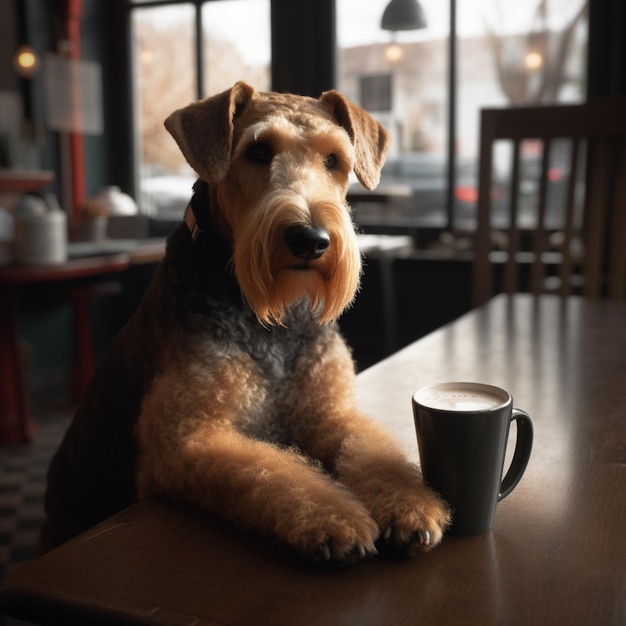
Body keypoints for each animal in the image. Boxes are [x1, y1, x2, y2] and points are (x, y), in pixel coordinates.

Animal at [41, 79, 448, 560]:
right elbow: (272, 472)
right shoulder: (189, 436)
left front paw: (409, 505)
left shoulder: (330, 414)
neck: (271, 317)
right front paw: (335, 519)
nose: (311, 239)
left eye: (334, 160)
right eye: (258, 151)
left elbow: (371, 452)